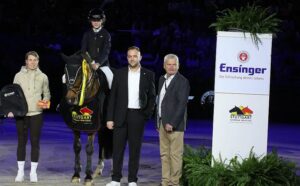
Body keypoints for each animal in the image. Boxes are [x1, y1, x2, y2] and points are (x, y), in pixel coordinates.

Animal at [59, 52, 103, 186]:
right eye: (65, 71)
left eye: (80, 74)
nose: (70, 99)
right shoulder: (76, 127)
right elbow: (77, 147)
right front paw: (76, 175)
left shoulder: (92, 128)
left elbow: (89, 149)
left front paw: (88, 177)